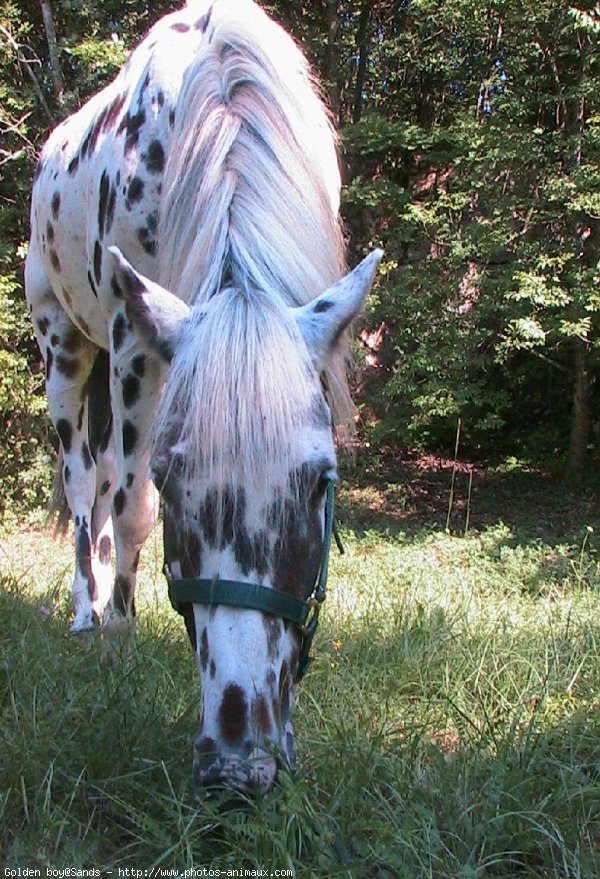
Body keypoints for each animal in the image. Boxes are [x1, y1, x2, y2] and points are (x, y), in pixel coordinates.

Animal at [25, 0, 382, 796]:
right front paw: (120, 642)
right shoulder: (132, 341)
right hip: (66, 349)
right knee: (84, 481)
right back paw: (89, 614)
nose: (238, 765)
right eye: (173, 482)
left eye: (323, 482)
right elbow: (131, 507)